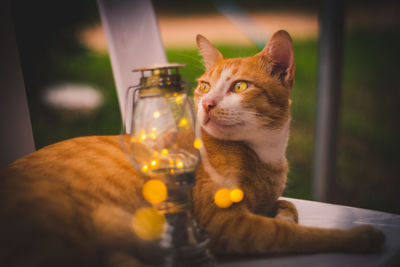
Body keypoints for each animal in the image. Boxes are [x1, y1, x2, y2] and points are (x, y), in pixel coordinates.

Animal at [0, 30, 384, 266]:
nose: (208, 105)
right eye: (204, 86)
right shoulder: (225, 225)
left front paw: (279, 210)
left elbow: (288, 207)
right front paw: (360, 237)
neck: (264, 154)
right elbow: (294, 233)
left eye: (240, 86)